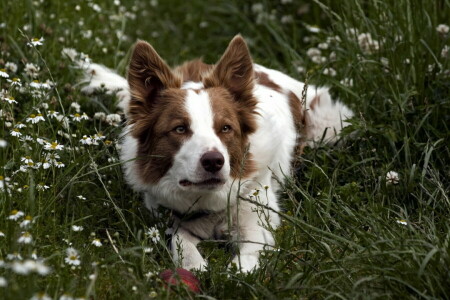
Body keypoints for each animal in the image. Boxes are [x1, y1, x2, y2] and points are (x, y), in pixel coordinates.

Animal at [82, 34, 354, 272]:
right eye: (179, 129)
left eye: (225, 128)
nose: (214, 161)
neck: (210, 199)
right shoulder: (171, 217)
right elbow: (181, 242)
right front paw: (196, 268)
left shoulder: (258, 225)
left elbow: (244, 265)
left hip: (330, 126)